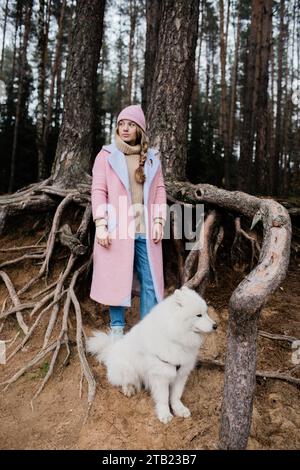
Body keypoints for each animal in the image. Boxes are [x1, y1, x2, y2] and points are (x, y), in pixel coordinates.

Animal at [85, 284, 217, 424]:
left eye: (206, 313)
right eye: (198, 315)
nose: (216, 326)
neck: (175, 337)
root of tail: (110, 350)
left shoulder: (181, 373)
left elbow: (176, 396)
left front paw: (179, 410)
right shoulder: (161, 375)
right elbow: (164, 398)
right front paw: (165, 414)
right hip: (128, 368)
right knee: (124, 381)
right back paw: (128, 389)